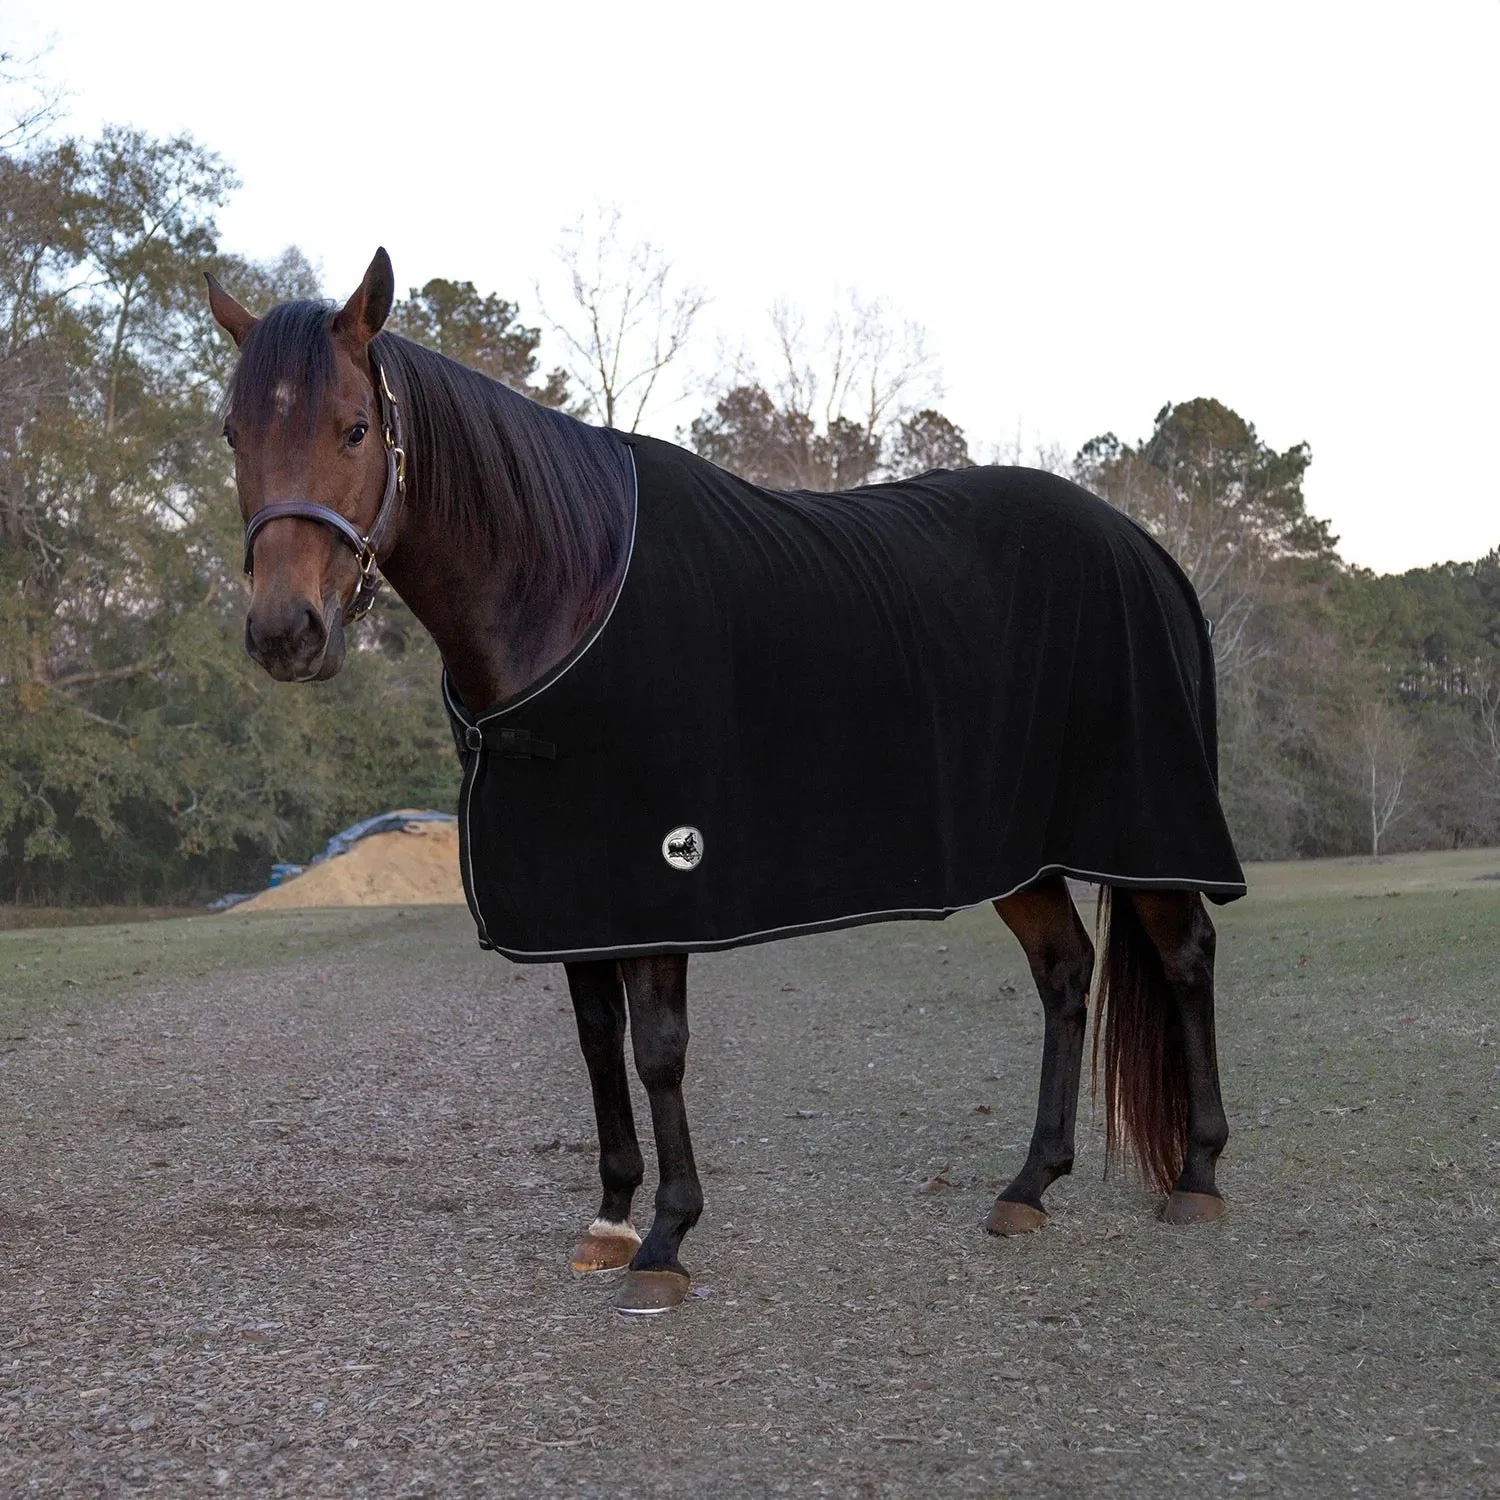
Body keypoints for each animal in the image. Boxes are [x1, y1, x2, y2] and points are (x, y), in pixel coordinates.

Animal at [206, 248, 1245, 1316]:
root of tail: (1144, 548)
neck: (568, 588)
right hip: (1020, 853)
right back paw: (1031, 1183)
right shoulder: (577, 888)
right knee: (1066, 972)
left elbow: (659, 1050)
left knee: (1186, 955)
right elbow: (596, 1040)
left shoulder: (663, 875)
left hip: (1145, 827)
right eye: (235, 432)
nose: (286, 633)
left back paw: (1199, 1175)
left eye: (355, 427)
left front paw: (668, 1238)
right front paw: (611, 1217)